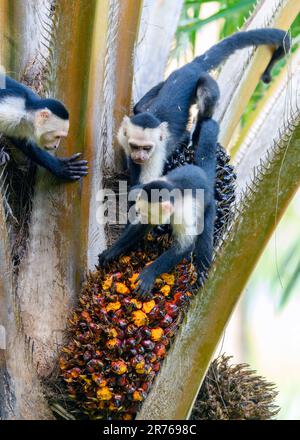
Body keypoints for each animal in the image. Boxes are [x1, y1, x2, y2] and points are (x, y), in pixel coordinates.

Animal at [98, 117, 218, 298]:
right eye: (141, 213)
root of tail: (203, 174)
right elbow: (140, 227)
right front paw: (112, 252)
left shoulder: (183, 213)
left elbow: (185, 245)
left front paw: (149, 273)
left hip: (210, 205)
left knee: (205, 234)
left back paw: (202, 272)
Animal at [118, 27, 290, 186]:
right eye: (134, 146)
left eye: (147, 148)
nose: (140, 156)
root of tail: (190, 67)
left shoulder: (156, 155)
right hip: (169, 79)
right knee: (139, 107)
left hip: (201, 81)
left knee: (206, 94)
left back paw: (195, 137)